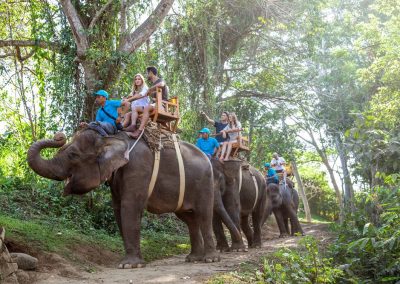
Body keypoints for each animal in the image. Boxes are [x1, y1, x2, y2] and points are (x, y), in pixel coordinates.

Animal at [27, 130, 222, 268]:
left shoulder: (138, 168)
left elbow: (129, 207)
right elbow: (117, 209)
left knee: (204, 215)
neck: (110, 138)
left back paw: (210, 260)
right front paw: (128, 262)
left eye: (73, 154)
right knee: (190, 219)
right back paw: (193, 259)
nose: (59, 136)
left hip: (205, 184)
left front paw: (129, 265)